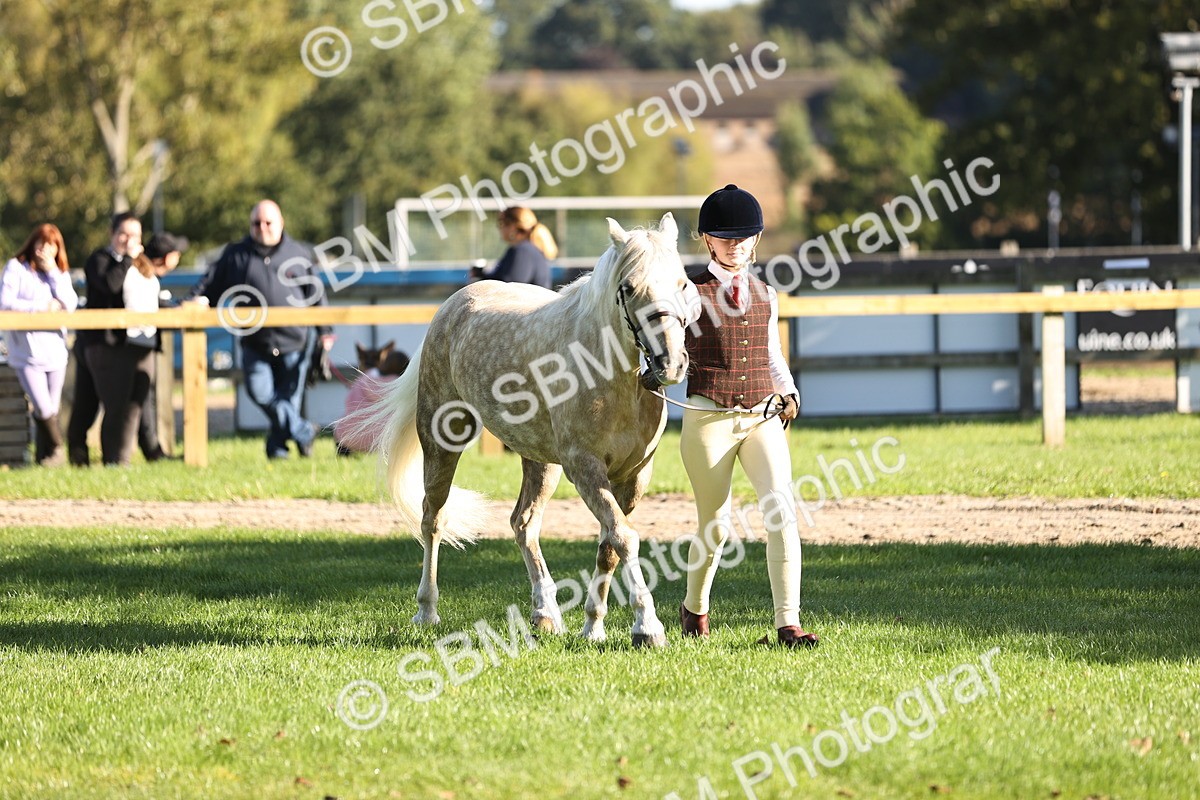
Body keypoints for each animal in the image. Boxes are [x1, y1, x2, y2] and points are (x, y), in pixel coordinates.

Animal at [352, 213, 691, 648]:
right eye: (628, 287)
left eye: (683, 283)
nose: (671, 363)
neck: (609, 374)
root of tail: (455, 304)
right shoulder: (585, 468)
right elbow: (624, 536)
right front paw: (647, 626)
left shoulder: (634, 476)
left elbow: (609, 544)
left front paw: (593, 627)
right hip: (443, 441)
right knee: (433, 519)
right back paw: (427, 611)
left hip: (540, 462)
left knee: (523, 524)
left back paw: (544, 615)